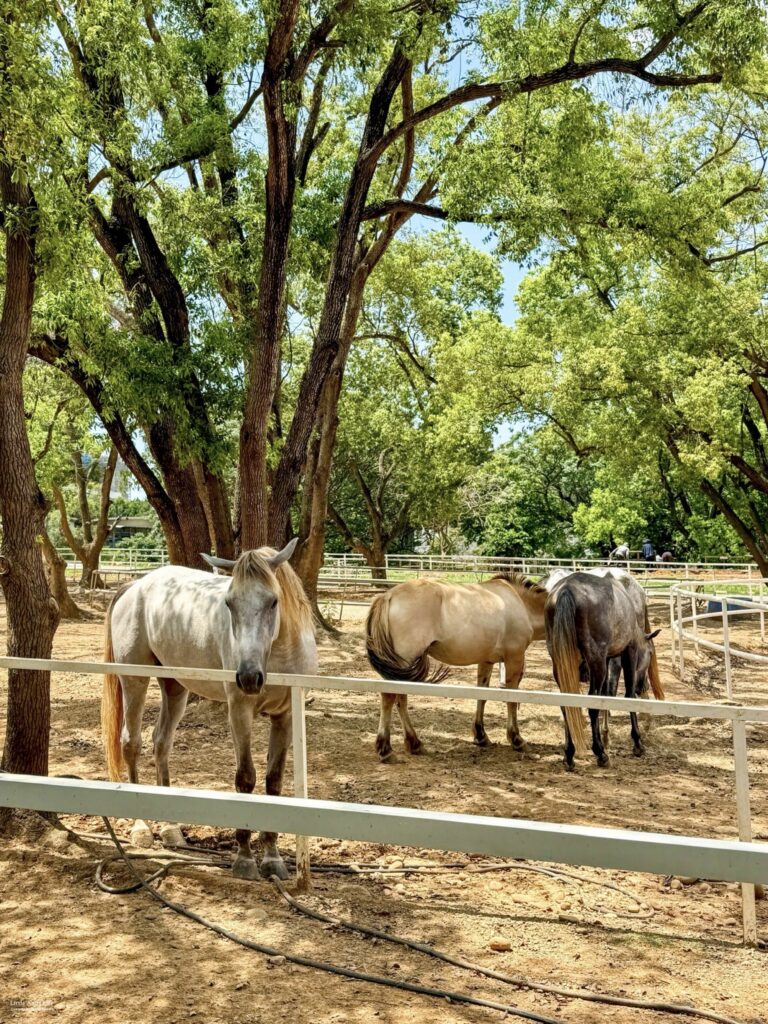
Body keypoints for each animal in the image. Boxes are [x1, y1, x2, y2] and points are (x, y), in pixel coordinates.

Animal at [101, 539, 316, 881]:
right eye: (229, 603)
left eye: (273, 602)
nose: (249, 677)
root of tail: (136, 586)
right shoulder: (239, 711)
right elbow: (246, 778)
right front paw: (244, 859)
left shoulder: (285, 718)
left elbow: (273, 781)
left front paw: (272, 859)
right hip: (134, 680)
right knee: (131, 743)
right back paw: (141, 827)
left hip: (175, 686)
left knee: (161, 743)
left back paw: (171, 830)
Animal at [365, 573, 548, 760]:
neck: (520, 603)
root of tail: (389, 596)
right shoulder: (514, 658)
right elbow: (512, 699)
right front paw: (517, 739)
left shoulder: (486, 661)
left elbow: (482, 696)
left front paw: (481, 736)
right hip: (404, 661)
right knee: (390, 697)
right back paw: (386, 749)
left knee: (400, 699)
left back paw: (414, 743)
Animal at [545, 571, 662, 771]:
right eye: (650, 653)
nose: (643, 685)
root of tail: (567, 589)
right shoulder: (628, 652)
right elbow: (628, 695)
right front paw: (637, 743)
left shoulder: (607, 659)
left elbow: (606, 694)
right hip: (596, 661)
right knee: (592, 705)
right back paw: (600, 753)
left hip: (562, 663)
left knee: (567, 703)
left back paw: (569, 754)